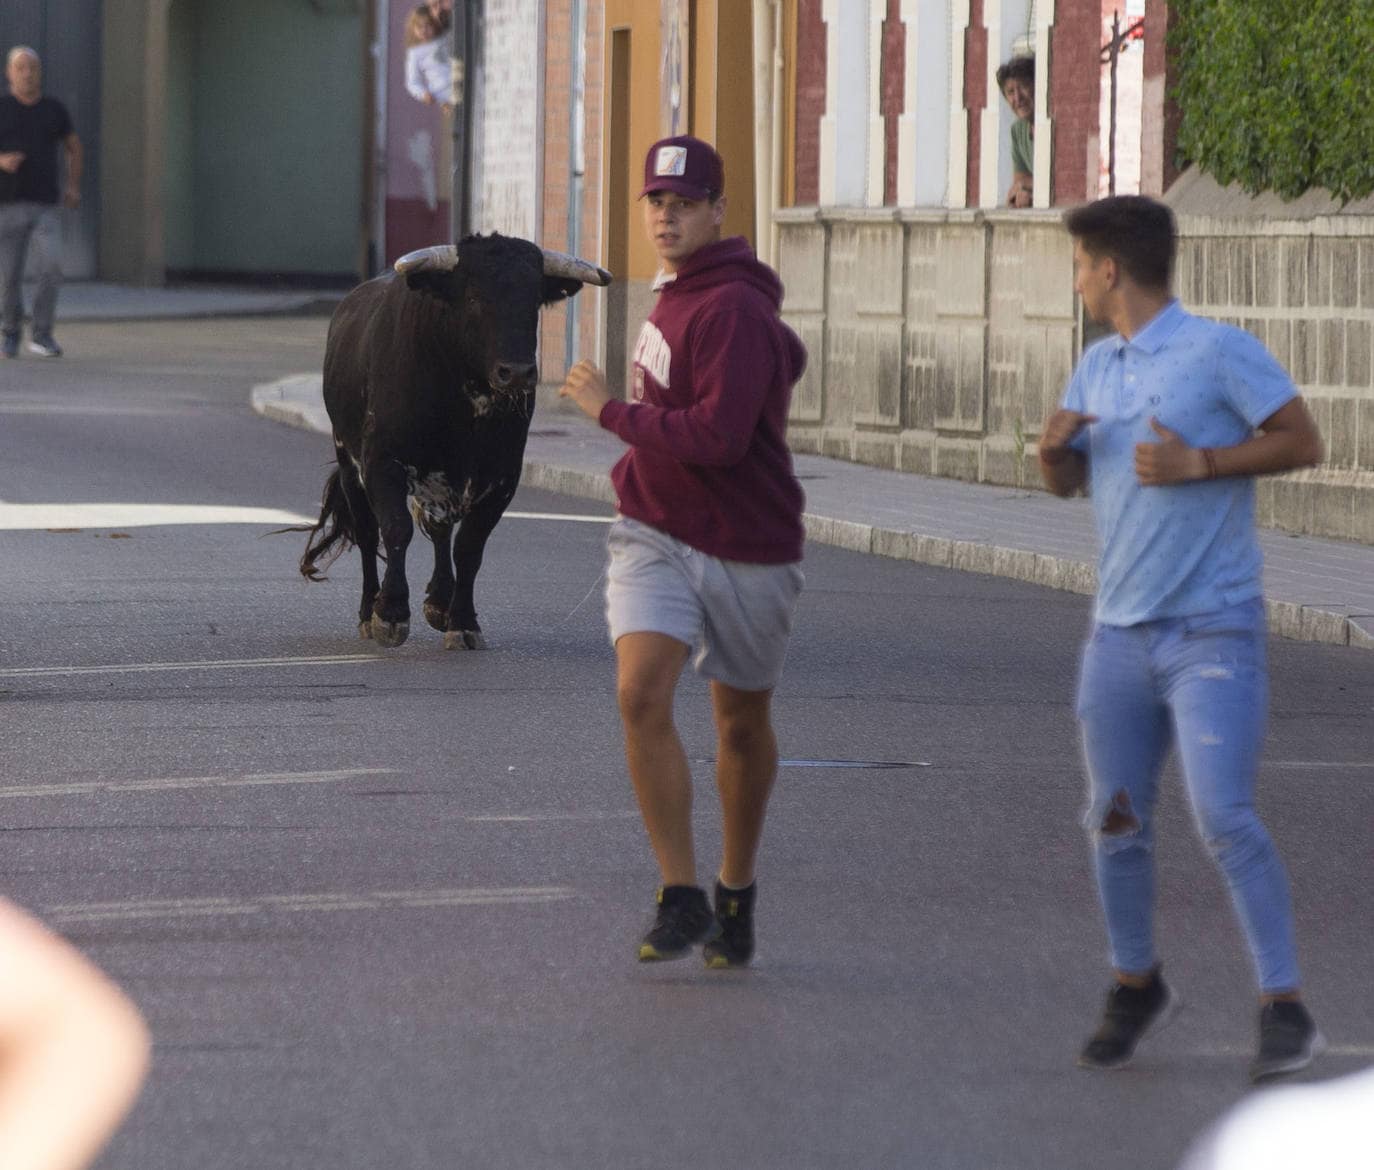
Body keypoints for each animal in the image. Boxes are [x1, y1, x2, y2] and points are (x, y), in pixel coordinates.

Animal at [296, 234, 612, 648]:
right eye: (474, 296)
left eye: (533, 299)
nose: (517, 373)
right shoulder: (382, 461)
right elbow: (395, 528)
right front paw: (390, 613)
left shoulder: (501, 477)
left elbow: (469, 547)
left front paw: (462, 620)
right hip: (350, 463)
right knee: (367, 533)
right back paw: (368, 611)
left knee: (439, 529)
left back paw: (439, 601)